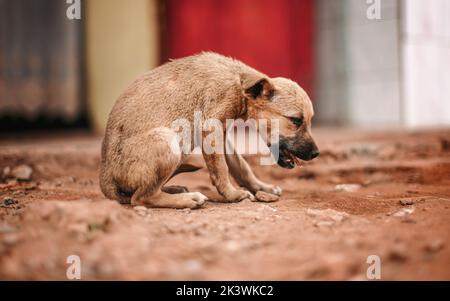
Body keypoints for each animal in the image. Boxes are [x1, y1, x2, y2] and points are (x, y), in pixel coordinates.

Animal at [101, 51, 320, 207]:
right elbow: (222, 169)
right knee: (141, 197)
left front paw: (260, 187)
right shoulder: (211, 128)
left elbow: (240, 165)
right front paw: (233, 195)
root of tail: (105, 180)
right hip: (166, 139)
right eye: (296, 120)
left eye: (310, 120)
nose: (316, 154)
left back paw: (175, 189)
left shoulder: (222, 133)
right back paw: (188, 199)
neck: (239, 81)